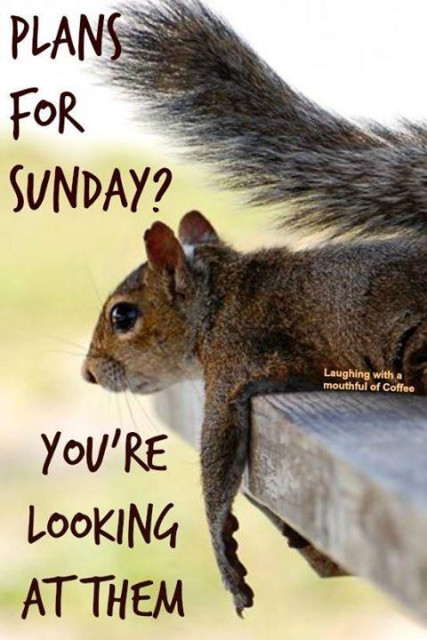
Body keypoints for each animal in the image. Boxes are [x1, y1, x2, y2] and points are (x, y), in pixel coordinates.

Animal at [83, 0, 427, 615]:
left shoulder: (233, 364)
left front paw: (226, 556)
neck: (219, 298)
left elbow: (216, 460)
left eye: (124, 316)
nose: (89, 372)